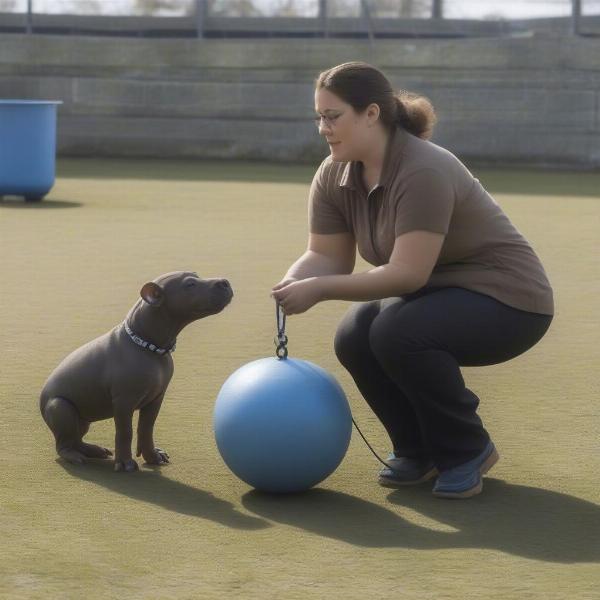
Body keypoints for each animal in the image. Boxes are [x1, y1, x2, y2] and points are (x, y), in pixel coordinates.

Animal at [39, 272, 232, 474]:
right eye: (190, 284)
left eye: (196, 276)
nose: (225, 282)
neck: (150, 347)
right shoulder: (124, 402)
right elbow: (125, 432)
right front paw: (125, 462)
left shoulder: (156, 398)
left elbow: (146, 428)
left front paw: (153, 456)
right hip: (60, 408)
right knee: (63, 445)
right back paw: (75, 456)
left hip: (83, 420)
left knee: (76, 439)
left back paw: (93, 449)